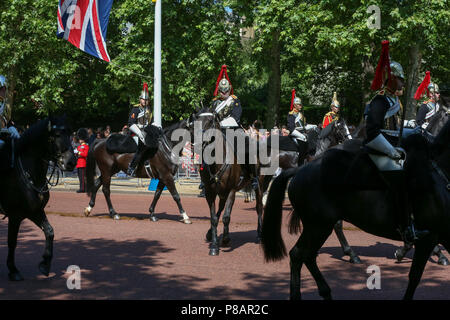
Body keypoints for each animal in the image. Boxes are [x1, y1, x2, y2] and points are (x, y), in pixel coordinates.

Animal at [0, 117, 75, 280]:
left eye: (69, 133)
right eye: (56, 135)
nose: (71, 162)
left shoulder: (35, 211)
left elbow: (49, 231)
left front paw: (45, 264)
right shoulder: (15, 215)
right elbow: (12, 241)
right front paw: (13, 270)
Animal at [260, 119, 450, 298]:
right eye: (340, 128)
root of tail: (300, 170)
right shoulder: (428, 236)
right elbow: (415, 276)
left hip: (318, 226)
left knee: (307, 254)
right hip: (318, 226)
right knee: (299, 254)